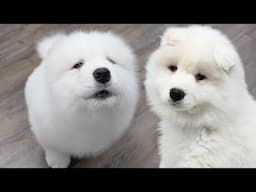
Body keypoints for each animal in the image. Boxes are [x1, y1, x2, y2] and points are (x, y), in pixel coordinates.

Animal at [25, 30, 139, 167]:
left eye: (111, 61)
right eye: (78, 65)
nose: (103, 73)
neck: (88, 116)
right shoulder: (45, 132)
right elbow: (54, 148)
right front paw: (58, 161)